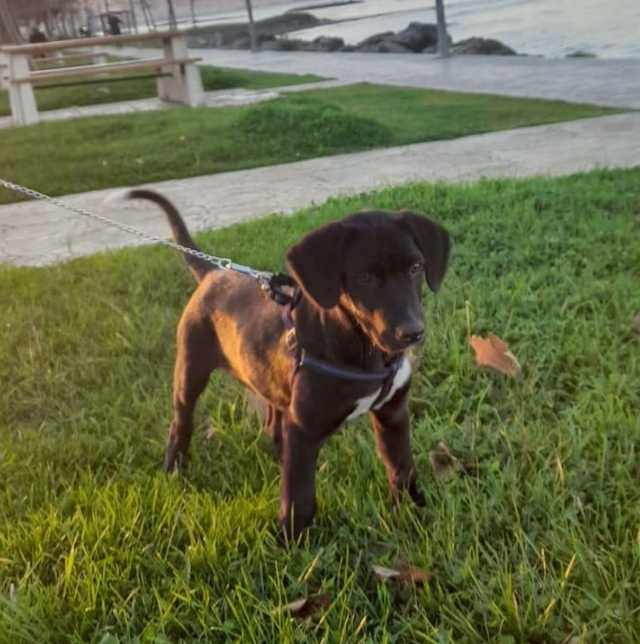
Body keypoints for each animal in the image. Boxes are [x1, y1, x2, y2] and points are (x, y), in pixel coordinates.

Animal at [128, 190, 450, 538]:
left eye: (415, 267)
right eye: (365, 277)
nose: (412, 333)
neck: (366, 350)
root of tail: (215, 273)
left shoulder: (393, 414)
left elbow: (402, 467)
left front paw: (415, 512)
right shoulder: (305, 428)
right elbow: (299, 493)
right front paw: (291, 540)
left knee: (274, 423)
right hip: (190, 368)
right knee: (182, 421)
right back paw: (174, 467)